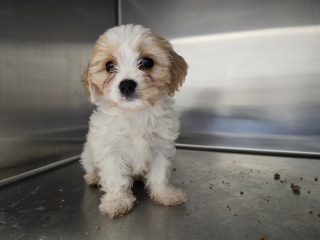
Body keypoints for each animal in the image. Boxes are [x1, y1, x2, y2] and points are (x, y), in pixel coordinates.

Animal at [79, 24, 188, 218]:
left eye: (147, 62)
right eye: (109, 65)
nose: (127, 85)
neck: (135, 114)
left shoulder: (161, 146)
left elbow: (159, 173)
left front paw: (164, 194)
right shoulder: (111, 150)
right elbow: (115, 177)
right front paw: (117, 202)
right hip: (88, 154)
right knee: (90, 166)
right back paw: (93, 177)